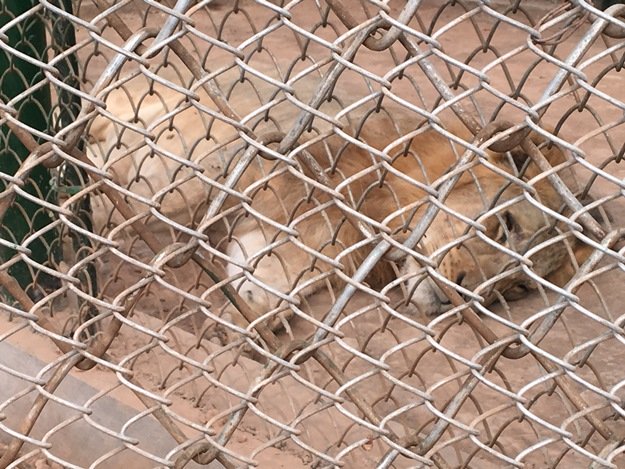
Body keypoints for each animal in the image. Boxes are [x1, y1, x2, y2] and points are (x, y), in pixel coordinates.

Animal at [86, 77, 596, 326]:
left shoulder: (302, 248)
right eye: (506, 225)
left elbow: (266, 285)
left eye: (516, 289)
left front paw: (248, 322)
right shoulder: (242, 150)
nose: (466, 299)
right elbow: (152, 192)